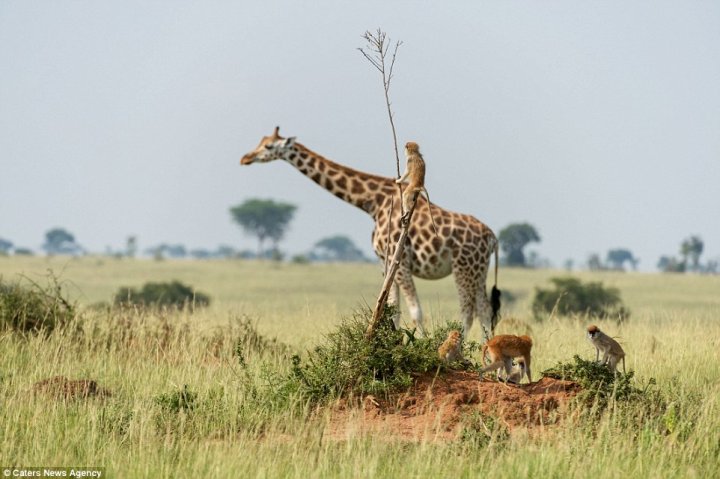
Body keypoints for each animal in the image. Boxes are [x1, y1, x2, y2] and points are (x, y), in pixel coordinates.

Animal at [239, 125, 498, 340]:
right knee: (485, 311)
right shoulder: (385, 261)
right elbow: (392, 309)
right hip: (479, 271)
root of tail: (492, 238)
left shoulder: (400, 261)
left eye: (268, 146)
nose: (245, 158)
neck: (372, 202)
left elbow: (416, 311)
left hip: (463, 268)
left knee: (468, 312)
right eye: (260, 141)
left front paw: (422, 345)